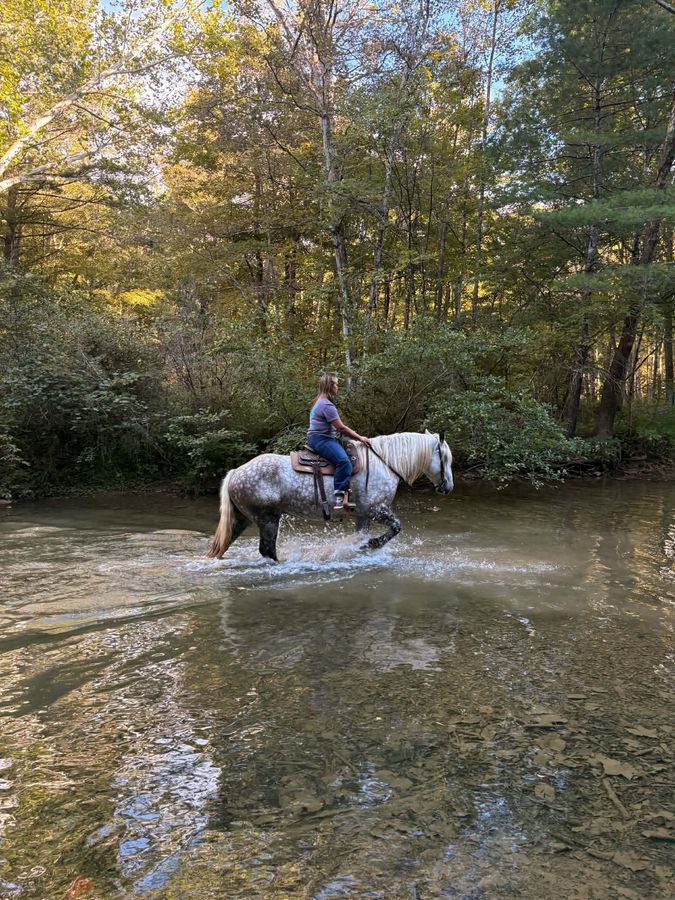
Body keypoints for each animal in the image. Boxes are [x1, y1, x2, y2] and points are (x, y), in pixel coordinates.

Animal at [206, 430, 453, 562]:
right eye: (445, 458)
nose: (449, 487)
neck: (384, 462)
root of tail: (236, 472)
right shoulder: (376, 510)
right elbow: (395, 527)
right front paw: (373, 544)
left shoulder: (362, 515)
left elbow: (363, 535)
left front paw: (363, 547)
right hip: (267, 519)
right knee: (267, 550)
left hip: (243, 519)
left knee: (225, 545)